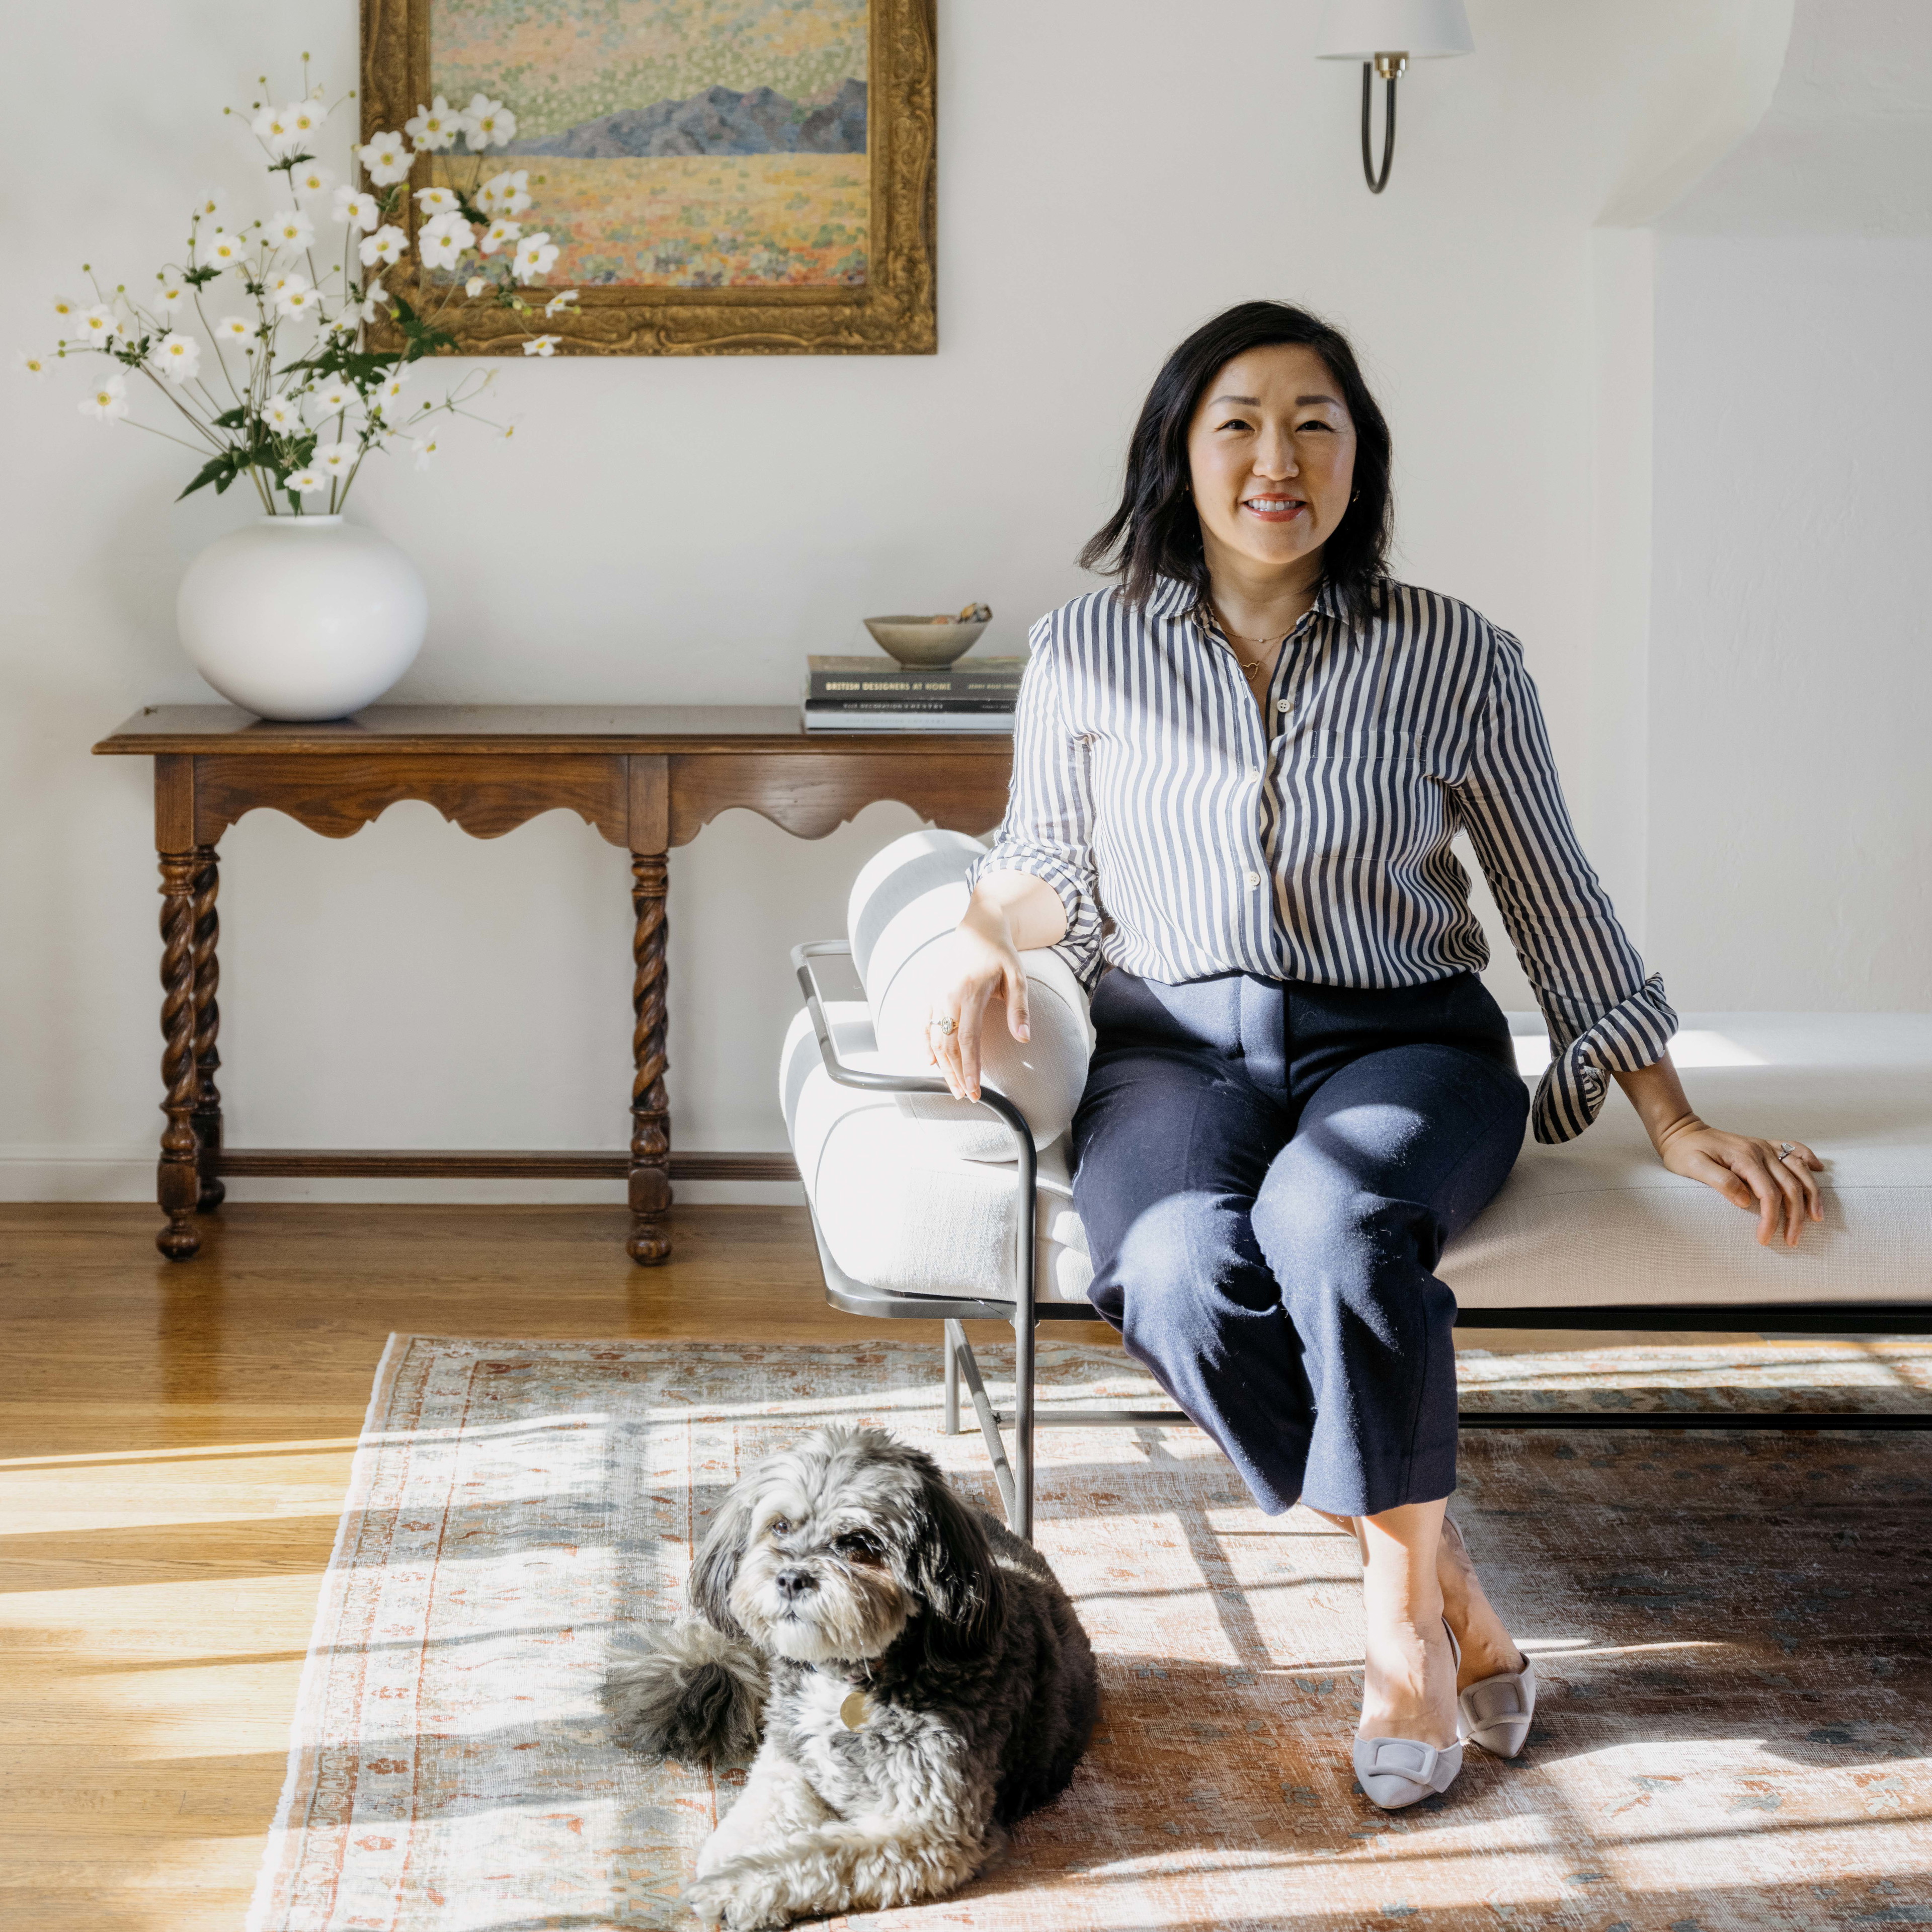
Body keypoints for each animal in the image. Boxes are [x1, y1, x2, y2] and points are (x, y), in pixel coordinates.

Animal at [610, 1422, 1112, 1932]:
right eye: (780, 1526)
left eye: (859, 1544)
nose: (790, 1579)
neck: (851, 1679)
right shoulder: (789, 1758)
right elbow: (761, 1808)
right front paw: (729, 1853)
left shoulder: (932, 1830)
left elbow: (821, 1855)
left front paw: (738, 1886)